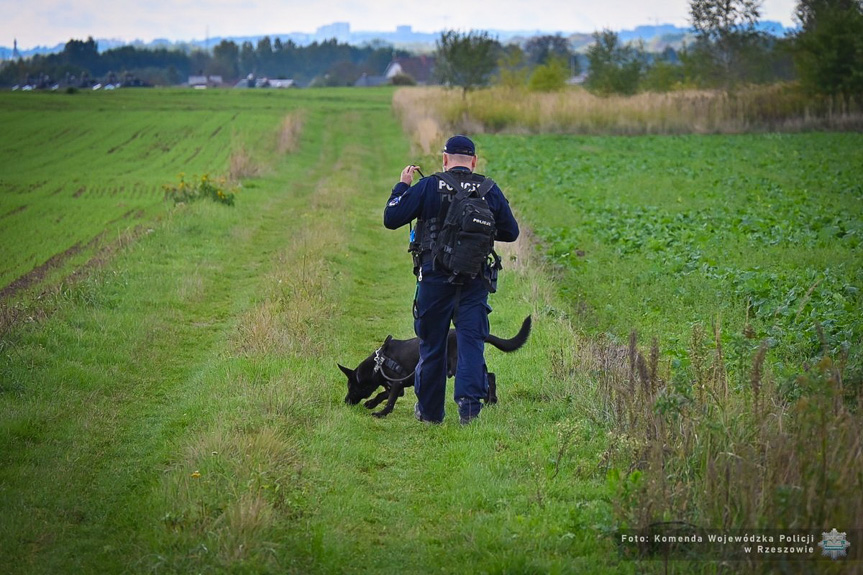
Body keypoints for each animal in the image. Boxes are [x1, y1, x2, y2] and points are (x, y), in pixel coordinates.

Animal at [340, 316, 532, 418]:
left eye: (351, 387)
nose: (345, 401)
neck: (377, 364)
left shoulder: (396, 384)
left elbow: (390, 400)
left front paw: (382, 413)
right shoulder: (398, 386)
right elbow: (382, 394)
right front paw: (372, 403)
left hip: (459, 365)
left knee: (489, 376)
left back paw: (491, 400)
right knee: (490, 375)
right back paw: (491, 400)